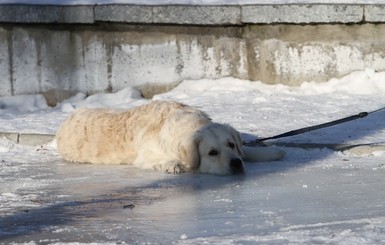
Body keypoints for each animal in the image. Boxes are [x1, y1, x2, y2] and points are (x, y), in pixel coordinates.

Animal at [55, 100, 284, 175]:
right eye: (212, 153)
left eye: (231, 145)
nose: (236, 164)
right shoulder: (145, 155)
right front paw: (172, 165)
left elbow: (249, 150)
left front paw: (273, 151)